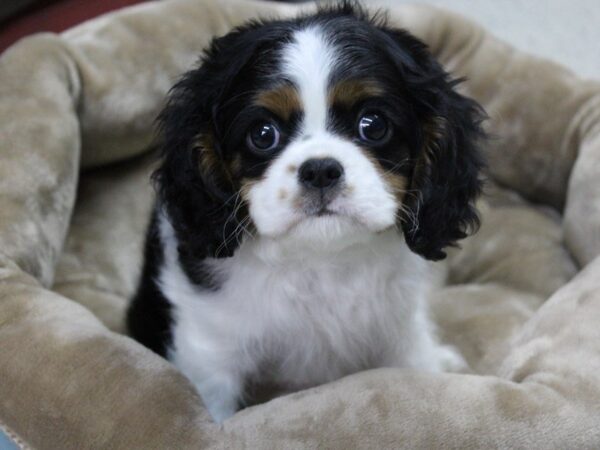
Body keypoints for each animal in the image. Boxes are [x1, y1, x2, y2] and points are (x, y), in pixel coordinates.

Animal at [126, 3, 482, 424]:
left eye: (373, 125)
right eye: (263, 134)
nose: (320, 170)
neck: (319, 260)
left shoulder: (398, 324)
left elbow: (415, 365)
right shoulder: (211, 346)